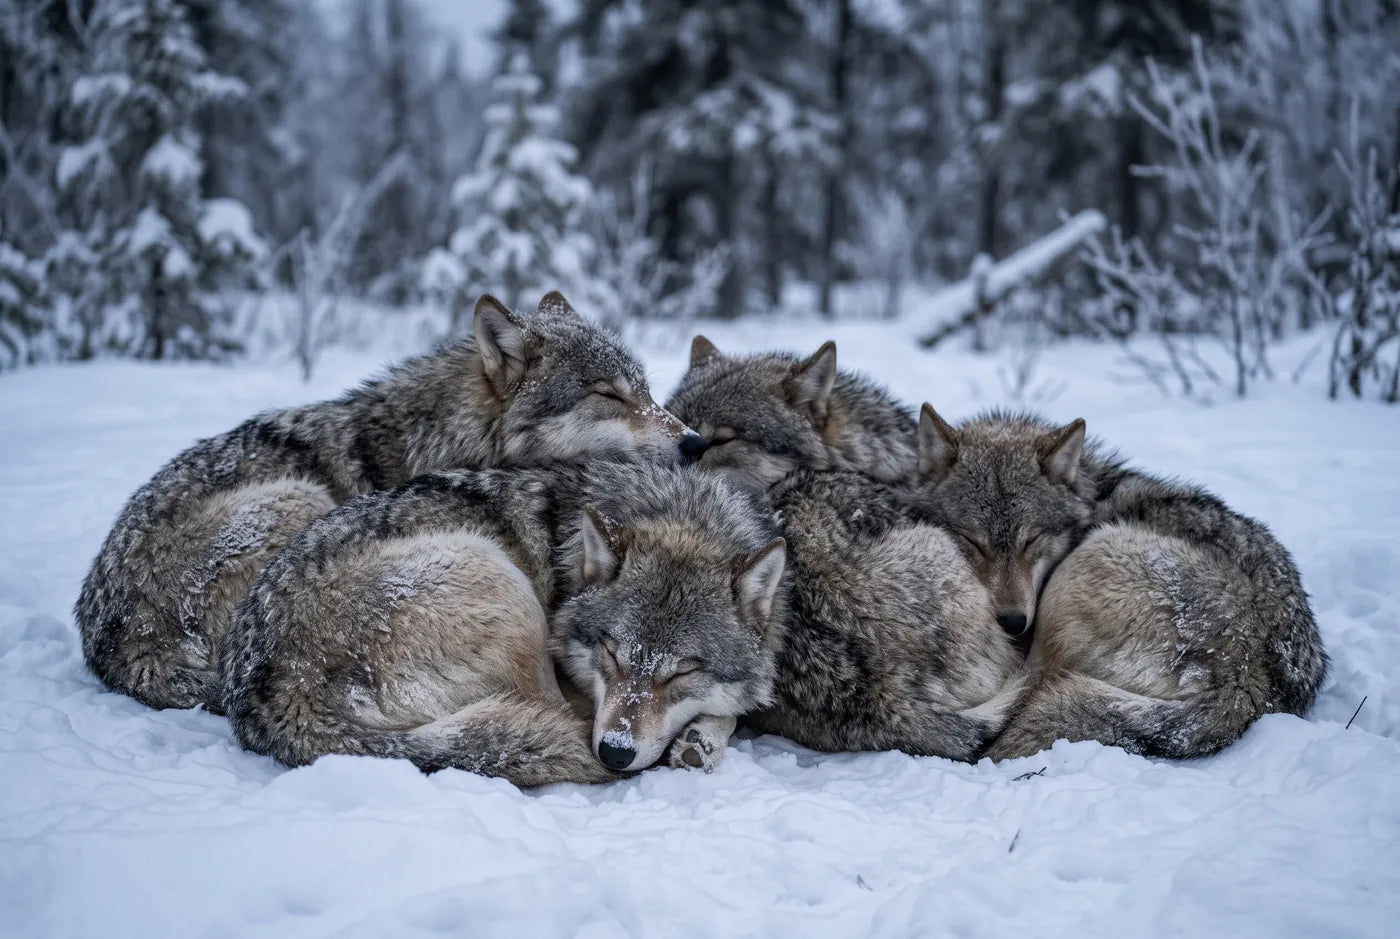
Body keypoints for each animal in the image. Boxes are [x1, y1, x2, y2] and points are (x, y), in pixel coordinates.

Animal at [77, 291, 703, 713]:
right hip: (298, 497)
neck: (455, 437)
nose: (695, 443)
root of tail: (113, 642)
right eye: (608, 395)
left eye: (647, 392)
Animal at [222, 463, 788, 785]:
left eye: (682, 672)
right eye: (611, 653)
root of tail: (276, 700)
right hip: (498, 578)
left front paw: (701, 739)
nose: (615, 752)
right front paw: (702, 736)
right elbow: (730, 712)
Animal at [914, 406, 1327, 760]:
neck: (1091, 499)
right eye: (972, 541)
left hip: (1083, 566)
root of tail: (1246, 686)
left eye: (1031, 541)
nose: (1013, 622)